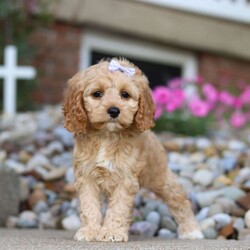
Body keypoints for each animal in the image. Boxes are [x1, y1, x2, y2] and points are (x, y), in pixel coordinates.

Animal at [62, 58, 203, 242]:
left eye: (125, 94)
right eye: (97, 94)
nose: (114, 111)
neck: (107, 136)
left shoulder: (125, 178)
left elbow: (118, 208)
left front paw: (112, 232)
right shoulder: (87, 177)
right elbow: (89, 206)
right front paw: (90, 231)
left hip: (160, 177)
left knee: (179, 199)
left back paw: (191, 230)